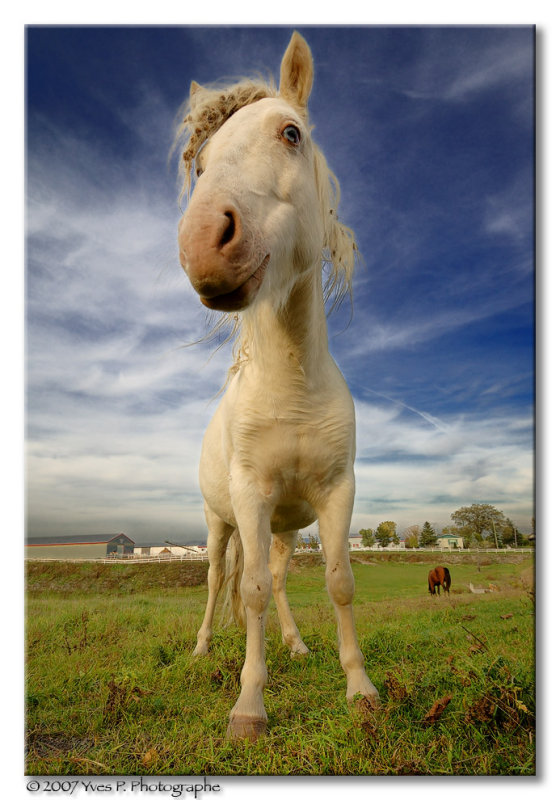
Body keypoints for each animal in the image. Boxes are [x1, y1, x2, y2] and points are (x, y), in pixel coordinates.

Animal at [176, 32, 376, 744]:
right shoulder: (251, 497)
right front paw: (249, 704)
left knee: (285, 581)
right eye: (201, 165)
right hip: (222, 523)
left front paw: (360, 689)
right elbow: (252, 591)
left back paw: (294, 644)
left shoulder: (335, 492)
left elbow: (339, 583)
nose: (202, 243)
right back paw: (204, 647)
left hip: (288, 526)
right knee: (218, 581)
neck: (292, 384)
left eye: (291, 133)